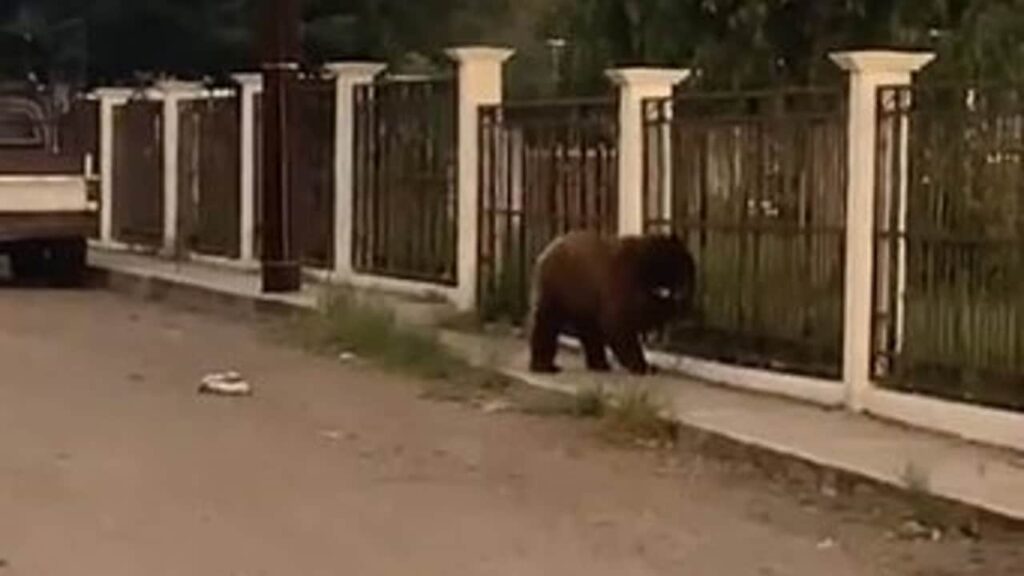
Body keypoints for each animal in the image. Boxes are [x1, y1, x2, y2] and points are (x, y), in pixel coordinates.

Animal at [527, 230, 696, 375]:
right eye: (682, 269)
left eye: (688, 269)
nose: (685, 293)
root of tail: (545, 252)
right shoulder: (622, 281)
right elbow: (620, 323)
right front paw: (643, 366)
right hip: (558, 288)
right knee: (546, 322)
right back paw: (544, 365)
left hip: (584, 299)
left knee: (590, 331)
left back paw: (599, 364)